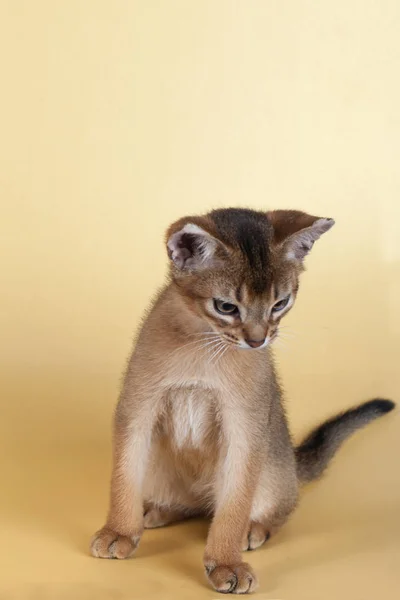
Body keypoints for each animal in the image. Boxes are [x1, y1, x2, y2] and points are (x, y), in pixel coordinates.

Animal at [90, 209, 394, 592]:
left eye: (280, 303)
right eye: (226, 307)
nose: (257, 340)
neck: (204, 347)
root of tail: (293, 463)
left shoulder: (245, 428)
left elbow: (233, 506)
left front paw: (226, 562)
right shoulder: (137, 410)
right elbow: (123, 477)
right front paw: (118, 531)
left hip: (272, 473)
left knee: (275, 509)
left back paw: (253, 529)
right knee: (190, 504)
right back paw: (155, 510)